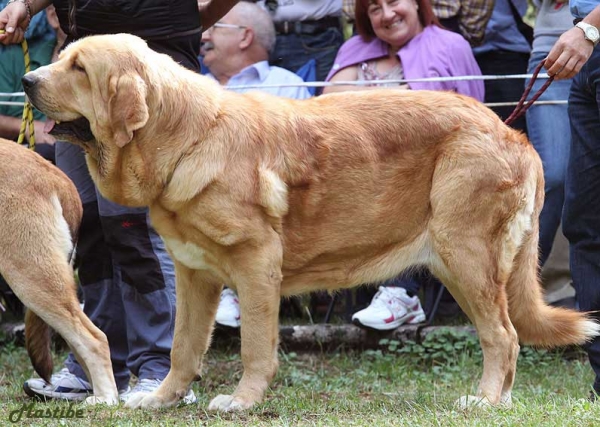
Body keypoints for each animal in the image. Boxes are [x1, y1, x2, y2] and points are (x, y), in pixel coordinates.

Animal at [21, 35, 596, 412]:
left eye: (79, 68)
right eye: (60, 59)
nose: (26, 80)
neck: (187, 137)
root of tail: (509, 129)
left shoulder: (256, 267)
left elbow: (255, 347)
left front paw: (242, 402)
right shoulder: (193, 275)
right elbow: (183, 348)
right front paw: (160, 400)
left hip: (465, 257)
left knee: (503, 336)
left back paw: (486, 402)